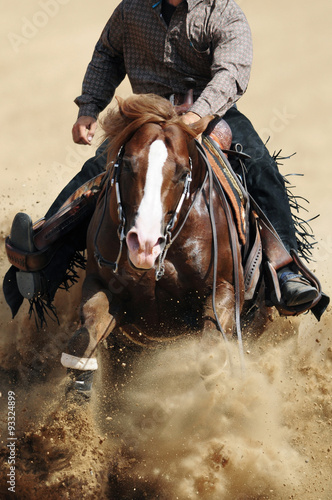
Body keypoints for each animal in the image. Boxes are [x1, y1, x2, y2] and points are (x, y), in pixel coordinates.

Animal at [59, 92, 260, 392]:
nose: (144, 245)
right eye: (127, 164)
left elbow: (211, 358)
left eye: (183, 172)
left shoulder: (225, 289)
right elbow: (84, 341)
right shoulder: (101, 284)